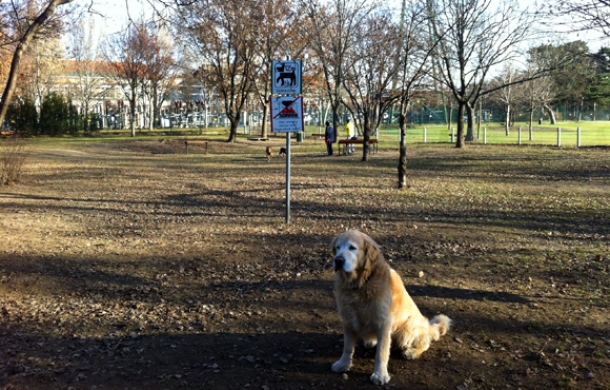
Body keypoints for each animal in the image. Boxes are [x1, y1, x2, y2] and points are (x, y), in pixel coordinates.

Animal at [330, 230, 448, 386]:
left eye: (352, 248)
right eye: (337, 248)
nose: (338, 260)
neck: (360, 285)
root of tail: (428, 326)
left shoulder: (384, 324)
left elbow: (382, 352)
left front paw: (380, 374)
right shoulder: (348, 319)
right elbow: (348, 347)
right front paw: (343, 363)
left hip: (407, 330)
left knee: (426, 342)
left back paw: (411, 352)